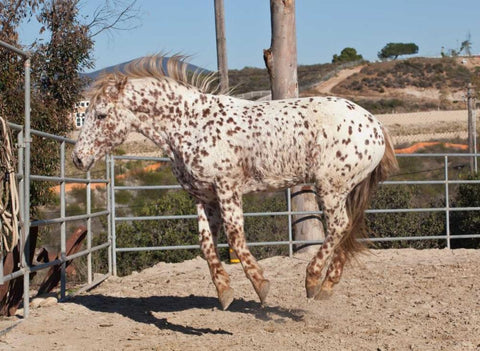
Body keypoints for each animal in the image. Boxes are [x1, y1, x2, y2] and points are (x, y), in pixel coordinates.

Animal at [73, 53, 400, 310]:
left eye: (100, 114)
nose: (78, 158)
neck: (190, 124)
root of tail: (375, 124)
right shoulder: (203, 196)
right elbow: (206, 244)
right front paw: (224, 292)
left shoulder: (227, 188)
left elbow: (235, 236)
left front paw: (261, 286)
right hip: (345, 189)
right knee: (347, 228)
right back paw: (326, 286)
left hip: (330, 187)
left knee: (339, 226)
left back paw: (311, 279)